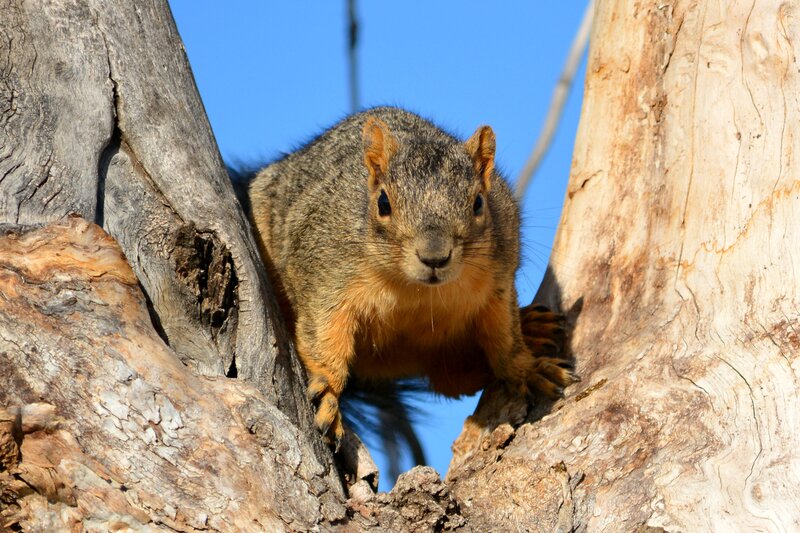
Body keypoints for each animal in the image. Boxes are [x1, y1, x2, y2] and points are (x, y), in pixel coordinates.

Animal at [247, 107, 577, 447]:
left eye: (478, 203)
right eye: (383, 203)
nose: (434, 257)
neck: (415, 291)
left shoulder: (498, 284)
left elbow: (506, 342)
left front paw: (528, 369)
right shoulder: (325, 278)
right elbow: (323, 337)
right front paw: (327, 390)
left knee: (452, 378)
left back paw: (533, 326)